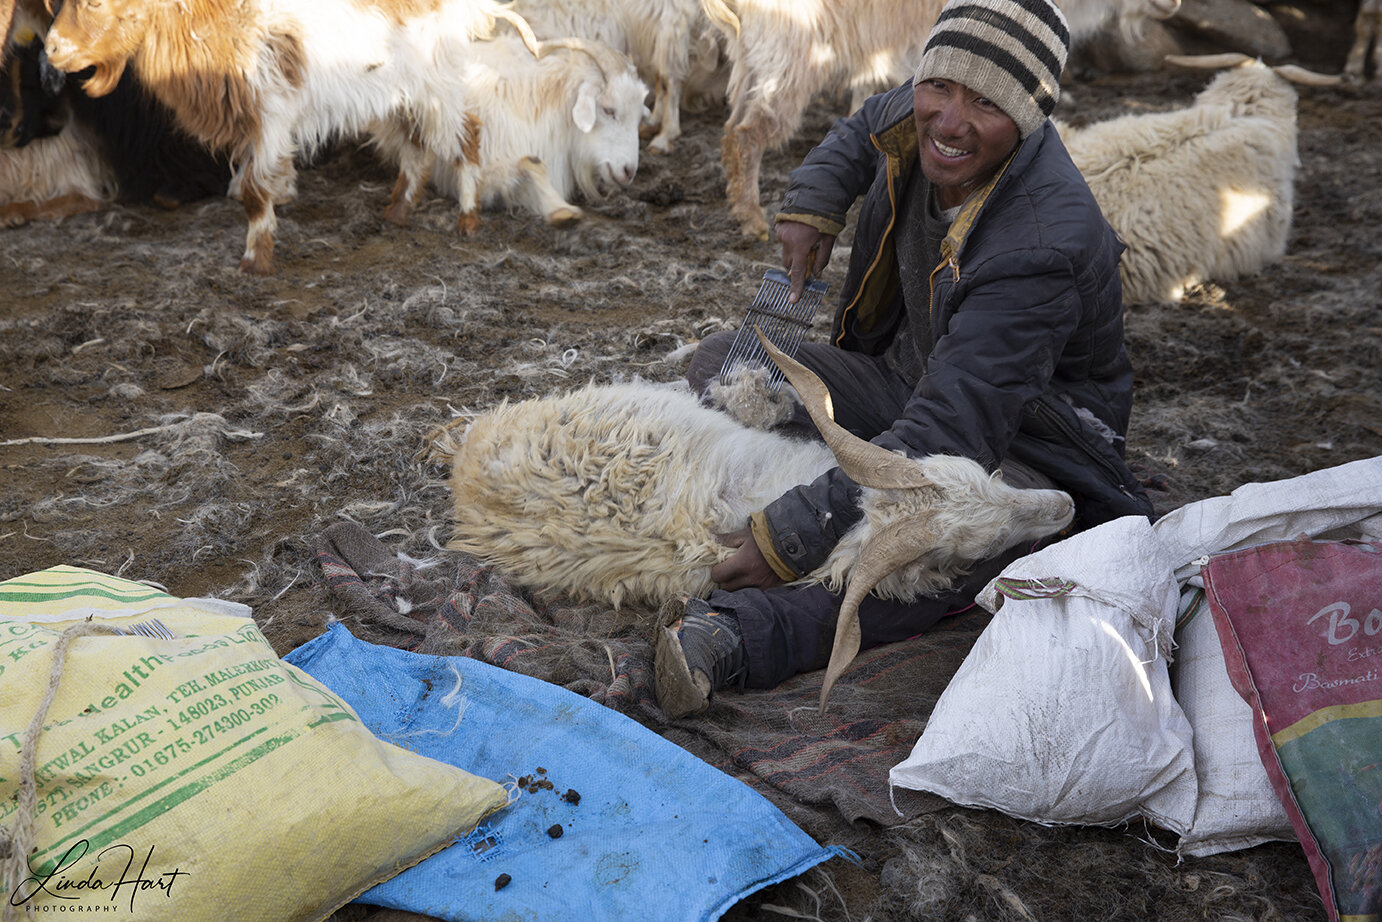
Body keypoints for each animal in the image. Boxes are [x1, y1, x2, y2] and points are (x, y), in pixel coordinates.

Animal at [43, 0, 541, 275]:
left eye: (94, 3)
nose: (51, 48)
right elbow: (251, 185)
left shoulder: (271, 115)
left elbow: (254, 191)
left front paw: (255, 261)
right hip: (398, 94)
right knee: (416, 146)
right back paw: (397, 214)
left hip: (436, 85)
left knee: (468, 133)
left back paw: (468, 220)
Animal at [369, 36, 647, 230]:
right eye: (609, 110)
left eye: (638, 117)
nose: (629, 172)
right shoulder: (479, 173)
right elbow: (530, 163)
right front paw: (562, 211)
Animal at [702, 0, 1184, 240]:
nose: (1173, 3)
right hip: (790, 60)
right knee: (748, 133)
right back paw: (752, 221)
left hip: (757, 60)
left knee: (730, 130)